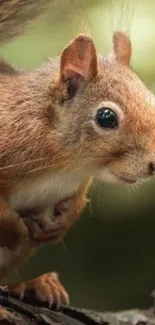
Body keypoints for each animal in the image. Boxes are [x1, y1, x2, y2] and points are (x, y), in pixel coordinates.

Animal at [0, 0, 155, 310]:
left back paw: (35, 284)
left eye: (153, 102)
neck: (66, 165)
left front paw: (65, 221)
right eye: (106, 117)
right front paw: (14, 228)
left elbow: (79, 199)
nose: (153, 164)